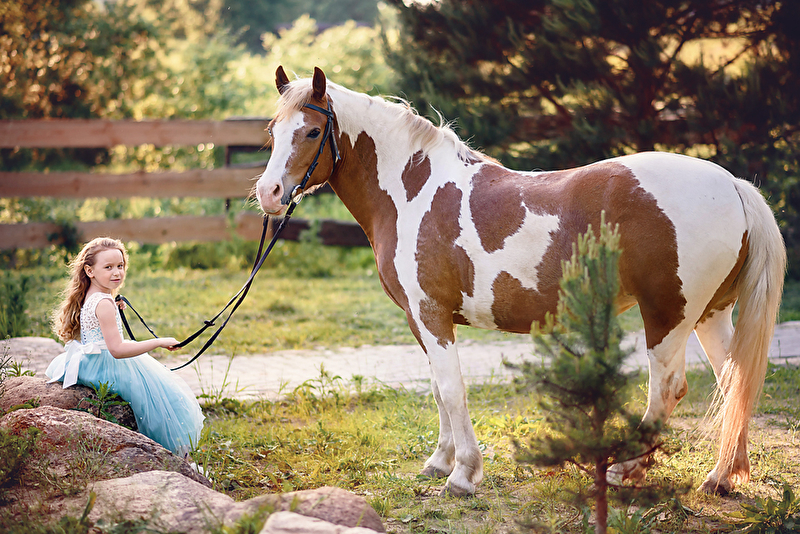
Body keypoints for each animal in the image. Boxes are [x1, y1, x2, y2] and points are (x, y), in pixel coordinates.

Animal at [255, 66, 786, 496]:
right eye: (274, 130)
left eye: (312, 130)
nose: (269, 193)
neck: (413, 191)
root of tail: (732, 185)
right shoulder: (420, 320)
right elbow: (437, 389)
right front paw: (439, 461)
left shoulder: (430, 314)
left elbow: (452, 390)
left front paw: (463, 475)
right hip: (711, 314)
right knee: (733, 380)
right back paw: (721, 477)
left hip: (667, 315)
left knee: (668, 388)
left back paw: (624, 470)